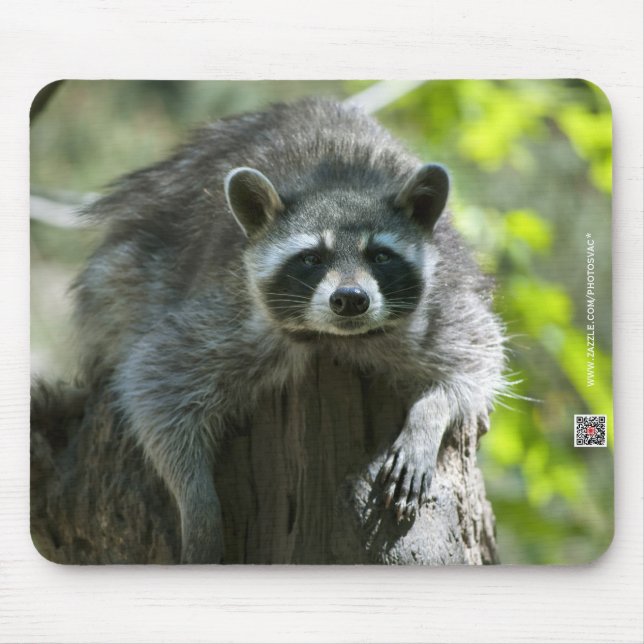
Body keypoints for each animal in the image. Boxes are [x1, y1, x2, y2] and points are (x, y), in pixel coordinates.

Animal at [70, 98, 506, 563]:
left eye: (380, 255)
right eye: (312, 257)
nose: (350, 299)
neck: (333, 338)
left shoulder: (439, 305)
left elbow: (474, 359)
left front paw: (427, 419)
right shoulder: (229, 314)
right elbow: (155, 382)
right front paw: (196, 499)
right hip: (128, 267)